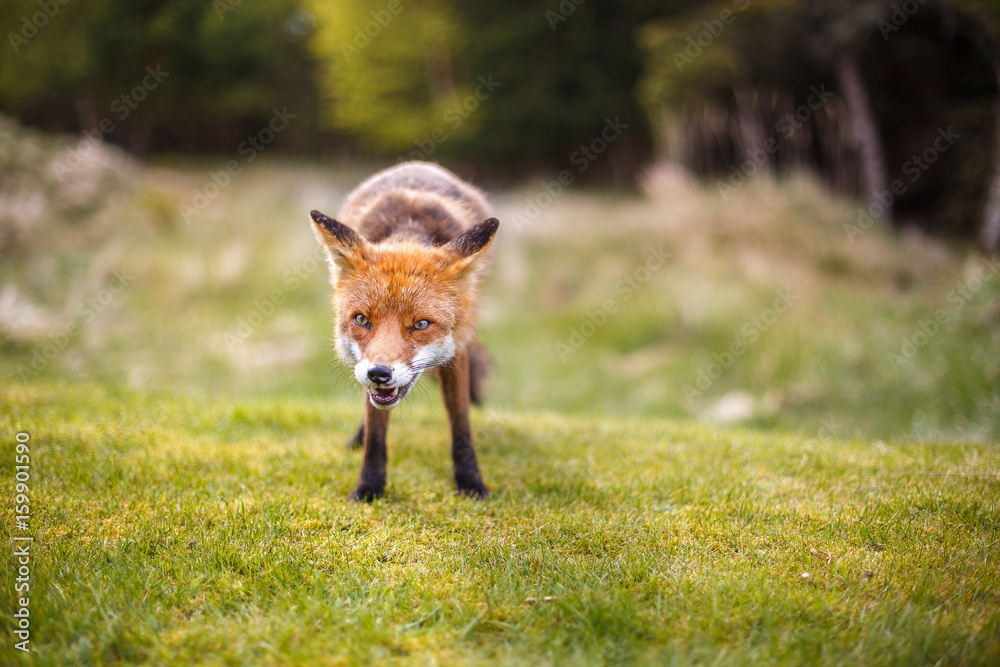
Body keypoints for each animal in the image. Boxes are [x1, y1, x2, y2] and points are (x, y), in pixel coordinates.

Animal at [309, 161, 499, 502]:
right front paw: (369, 488)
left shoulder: (457, 354)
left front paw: (471, 483)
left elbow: (461, 425)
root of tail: (417, 164)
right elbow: (376, 433)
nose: (379, 373)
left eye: (421, 324)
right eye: (361, 319)